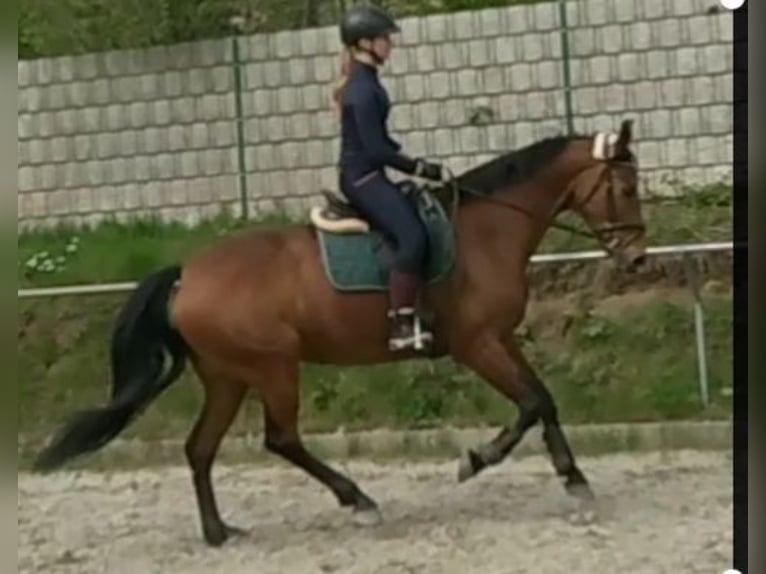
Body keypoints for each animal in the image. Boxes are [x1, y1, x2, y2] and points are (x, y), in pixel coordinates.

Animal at [34, 118, 648, 548]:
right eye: (624, 187)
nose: (638, 259)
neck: (487, 231)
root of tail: (188, 274)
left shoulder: (501, 337)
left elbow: (542, 400)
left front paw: (574, 479)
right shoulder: (476, 344)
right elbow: (530, 403)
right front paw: (476, 461)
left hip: (229, 376)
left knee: (201, 448)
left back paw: (219, 533)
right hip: (274, 367)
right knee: (280, 439)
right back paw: (359, 501)